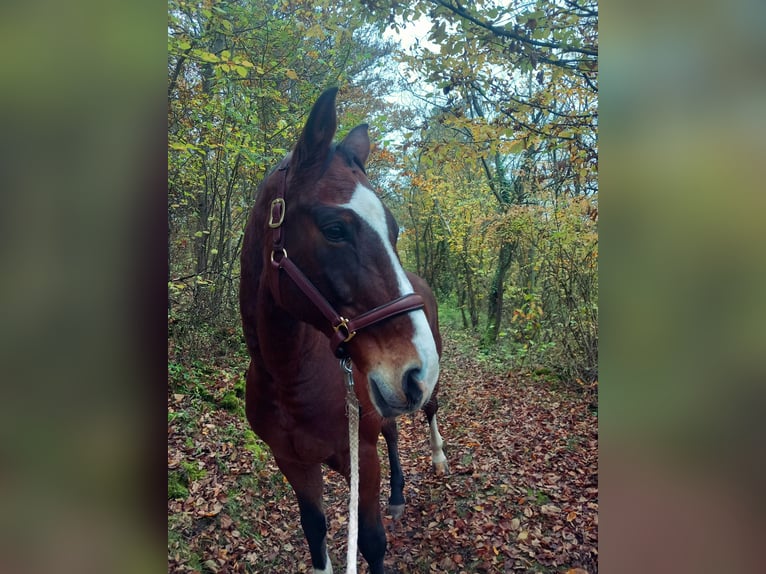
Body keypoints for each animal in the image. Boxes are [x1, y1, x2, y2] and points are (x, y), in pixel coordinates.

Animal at [239, 87, 448, 573]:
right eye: (335, 229)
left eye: (394, 229)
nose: (417, 370)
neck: (288, 376)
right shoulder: (294, 463)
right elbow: (315, 535)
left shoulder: (361, 459)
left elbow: (371, 542)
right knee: (393, 430)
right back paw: (398, 495)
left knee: (429, 411)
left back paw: (438, 458)